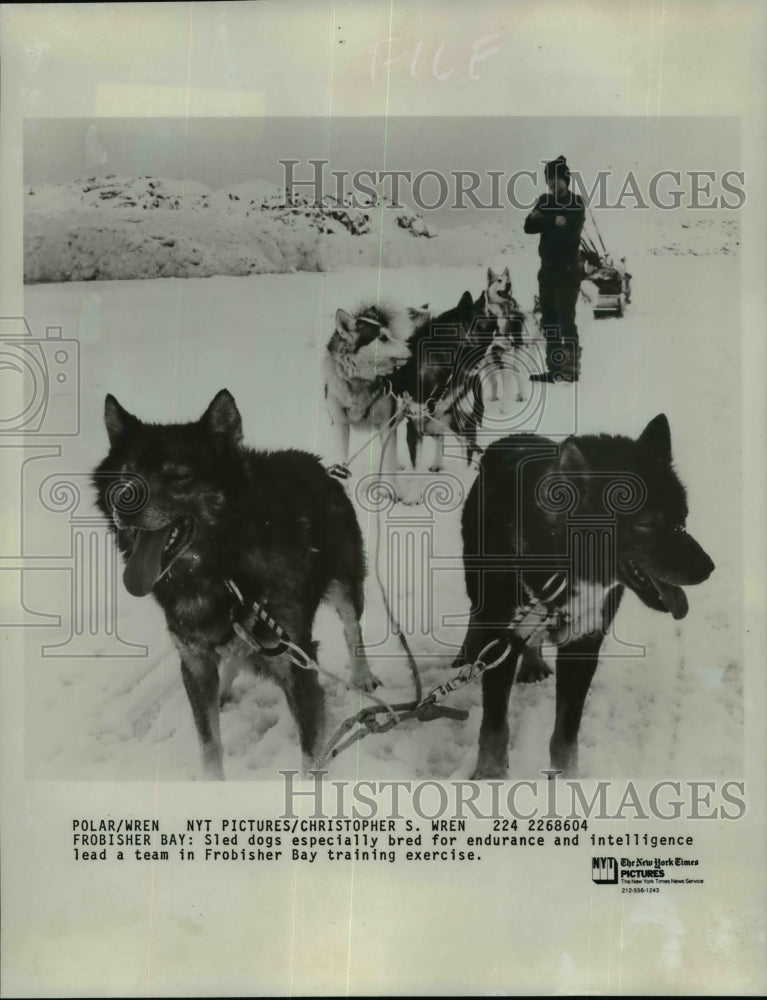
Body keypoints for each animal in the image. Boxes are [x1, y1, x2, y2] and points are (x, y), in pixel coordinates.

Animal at [93, 390, 376, 780]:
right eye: (127, 473)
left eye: (179, 476)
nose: (125, 502)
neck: (222, 570)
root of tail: (320, 466)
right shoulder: (194, 663)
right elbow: (209, 743)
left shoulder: (297, 662)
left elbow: (311, 755)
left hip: (345, 586)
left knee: (352, 628)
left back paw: (362, 675)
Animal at [324, 300, 414, 480]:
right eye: (383, 338)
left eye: (391, 335)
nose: (411, 345)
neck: (359, 381)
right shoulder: (340, 425)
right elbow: (341, 461)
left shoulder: (387, 424)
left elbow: (387, 465)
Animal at [456, 414, 712, 780]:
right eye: (646, 524)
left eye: (683, 517)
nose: (709, 568)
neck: (563, 568)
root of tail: (515, 437)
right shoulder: (501, 638)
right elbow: (494, 727)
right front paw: (490, 776)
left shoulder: (583, 647)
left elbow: (565, 733)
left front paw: (567, 780)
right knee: (476, 615)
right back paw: (467, 651)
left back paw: (532, 661)